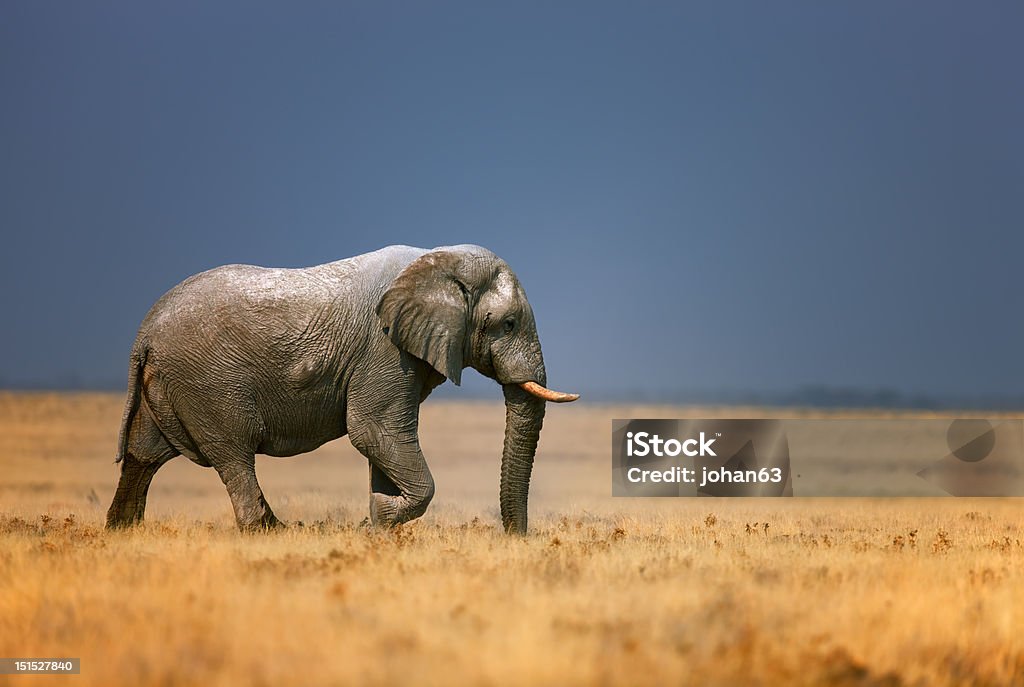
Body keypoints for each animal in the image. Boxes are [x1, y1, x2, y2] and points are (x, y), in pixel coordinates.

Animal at [110, 244, 585, 536]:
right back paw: (271, 532)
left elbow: (382, 442)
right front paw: (376, 521)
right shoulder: (384, 348)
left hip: (171, 382)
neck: (438, 261)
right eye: (508, 324)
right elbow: (373, 432)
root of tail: (144, 332)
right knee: (233, 454)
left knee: (143, 454)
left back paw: (121, 530)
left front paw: (378, 522)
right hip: (209, 382)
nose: (516, 539)